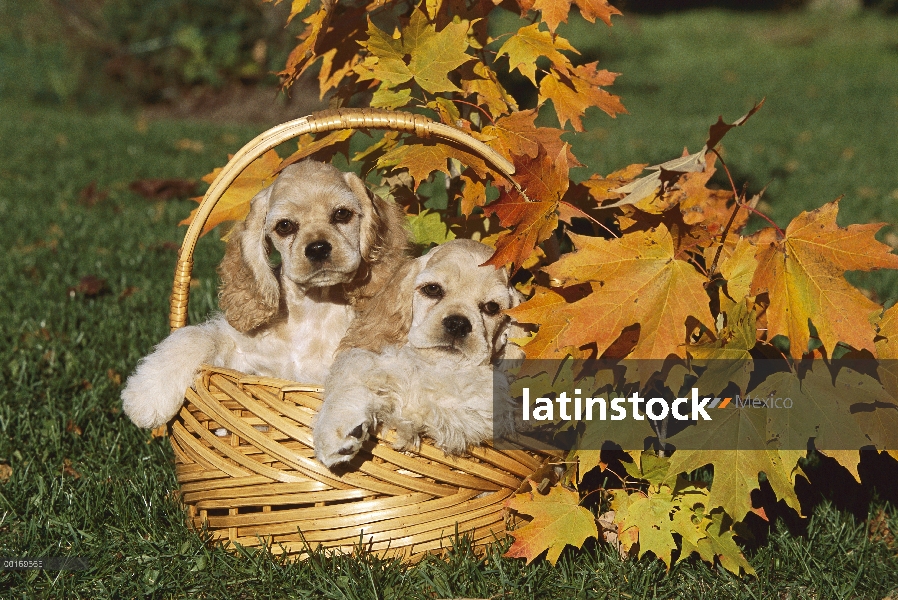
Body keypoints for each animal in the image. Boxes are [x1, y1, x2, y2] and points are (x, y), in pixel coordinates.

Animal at [123, 161, 410, 432]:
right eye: (284, 226)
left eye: (342, 213)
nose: (318, 248)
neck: (313, 308)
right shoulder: (243, 353)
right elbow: (195, 336)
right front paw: (146, 397)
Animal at [316, 239, 524, 468]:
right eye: (432, 289)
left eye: (492, 307)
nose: (458, 324)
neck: (434, 366)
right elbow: (351, 368)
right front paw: (337, 427)